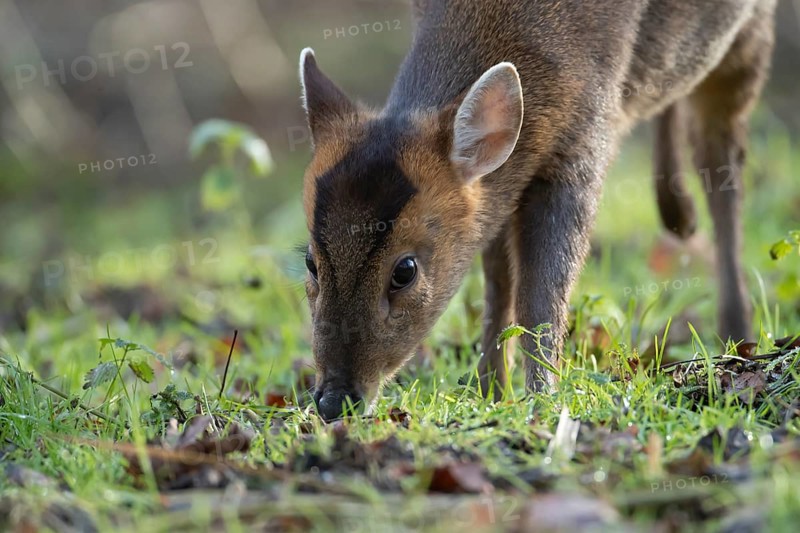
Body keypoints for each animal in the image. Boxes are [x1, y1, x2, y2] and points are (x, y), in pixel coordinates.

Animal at [297, 0, 777, 421]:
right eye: (310, 262)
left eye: (405, 270)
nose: (334, 401)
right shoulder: (502, 187)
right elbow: (498, 280)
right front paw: (490, 390)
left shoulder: (587, 138)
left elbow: (541, 295)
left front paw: (541, 398)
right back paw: (679, 214)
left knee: (722, 163)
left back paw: (738, 334)